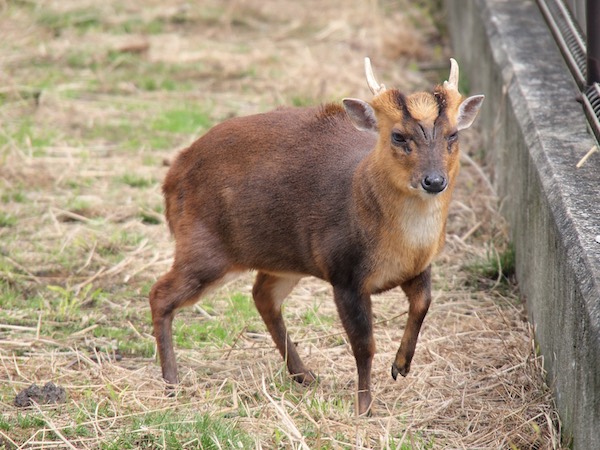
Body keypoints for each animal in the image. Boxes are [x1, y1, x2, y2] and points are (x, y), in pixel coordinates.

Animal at [150, 58, 482, 416]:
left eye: (453, 134)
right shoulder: (344, 273)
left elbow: (423, 303)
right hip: (204, 246)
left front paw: (401, 365)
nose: (434, 181)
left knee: (262, 296)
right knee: (160, 294)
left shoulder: (419, 266)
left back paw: (304, 374)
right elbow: (364, 345)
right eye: (397, 136)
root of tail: (172, 175)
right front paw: (363, 407)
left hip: (284, 259)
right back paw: (171, 383)